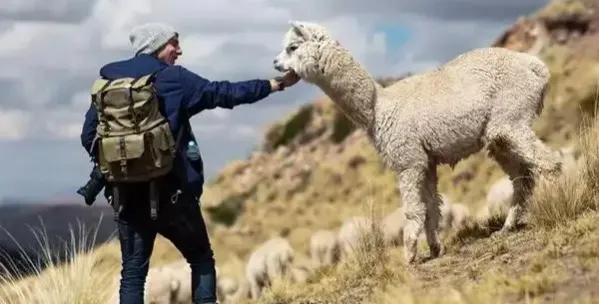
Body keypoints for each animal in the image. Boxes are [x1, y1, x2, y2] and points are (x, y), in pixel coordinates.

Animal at [272, 20, 564, 264]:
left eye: (292, 47)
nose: (275, 63)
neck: (378, 108)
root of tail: (537, 67)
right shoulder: (426, 160)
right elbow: (431, 207)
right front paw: (435, 249)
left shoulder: (408, 161)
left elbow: (413, 210)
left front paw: (410, 256)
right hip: (499, 135)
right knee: (523, 176)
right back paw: (508, 225)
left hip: (511, 118)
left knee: (549, 163)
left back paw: (558, 202)